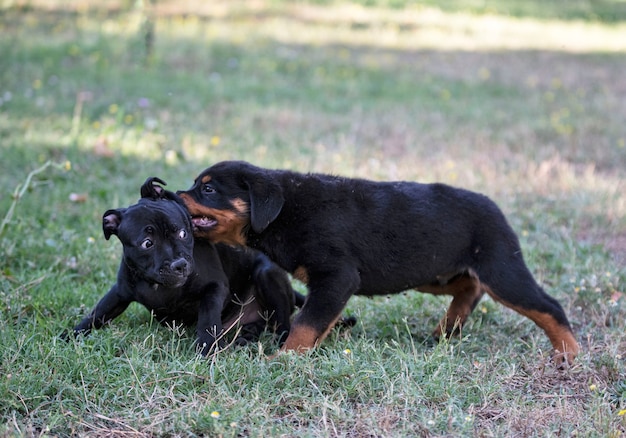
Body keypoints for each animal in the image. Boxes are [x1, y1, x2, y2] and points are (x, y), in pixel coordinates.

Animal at [69, 176, 298, 354]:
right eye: (147, 243)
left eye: (183, 233)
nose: (179, 264)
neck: (158, 285)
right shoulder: (119, 293)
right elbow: (97, 314)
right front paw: (69, 336)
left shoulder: (215, 287)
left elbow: (208, 318)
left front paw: (207, 348)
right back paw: (246, 336)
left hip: (266, 275)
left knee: (282, 323)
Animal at [178, 161, 576, 366]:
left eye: (208, 189)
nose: (175, 196)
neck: (284, 212)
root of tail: (495, 206)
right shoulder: (331, 285)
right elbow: (317, 321)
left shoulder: (336, 276)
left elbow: (305, 324)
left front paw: (283, 359)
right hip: (430, 272)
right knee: (470, 286)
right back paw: (446, 331)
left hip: (501, 269)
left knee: (547, 305)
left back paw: (567, 352)